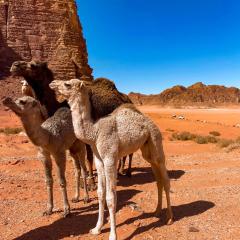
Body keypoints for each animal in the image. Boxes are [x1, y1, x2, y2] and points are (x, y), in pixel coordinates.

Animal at [50, 79, 174, 240]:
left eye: (67, 84)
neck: (94, 132)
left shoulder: (109, 158)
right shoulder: (99, 160)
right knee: (158, 179)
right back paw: (157, 211)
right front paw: (96, 228)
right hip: (147, 150)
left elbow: (110, 197)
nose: (52, 83)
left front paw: (112, 235)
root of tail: (151, 122)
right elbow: (100, 194)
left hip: (156, 140)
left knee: (165, 178)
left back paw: (170, 217)